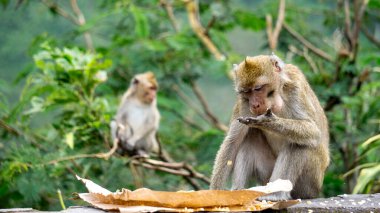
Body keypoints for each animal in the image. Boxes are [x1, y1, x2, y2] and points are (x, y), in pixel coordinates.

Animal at [211, 54, 330, 201]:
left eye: (258, 88)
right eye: (246, 91)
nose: (254, 104)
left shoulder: (295, 87)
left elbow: (313, 131)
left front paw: (266, 122)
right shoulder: (243, 103)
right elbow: (233, 141)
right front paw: (214, 193)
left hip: (311, 182)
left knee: (301, 143)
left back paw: (276, 195)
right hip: (266, 175)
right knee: (251, 135)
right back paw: (239, 190)